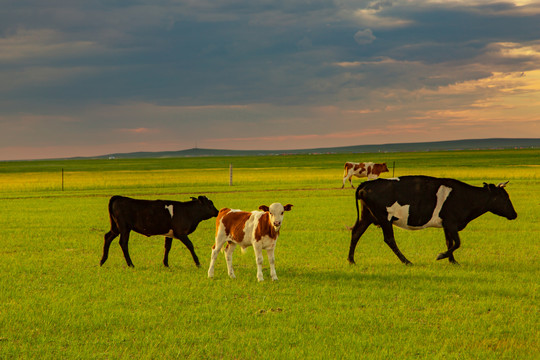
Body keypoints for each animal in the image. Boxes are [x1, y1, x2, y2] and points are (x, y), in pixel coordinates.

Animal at [348, 176, 516, 264]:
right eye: (504, 197)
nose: (515, 214)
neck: (466, 197)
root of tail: (367, 183)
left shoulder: (446, 225)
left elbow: (449, 242)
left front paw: (452, 260)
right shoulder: (451, 223)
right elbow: (457, 242)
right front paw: (442, 256)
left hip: (367, 215)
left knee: (356, 233)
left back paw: (351, 260)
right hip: (384, 218)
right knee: (389, 239)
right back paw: (406, 261)